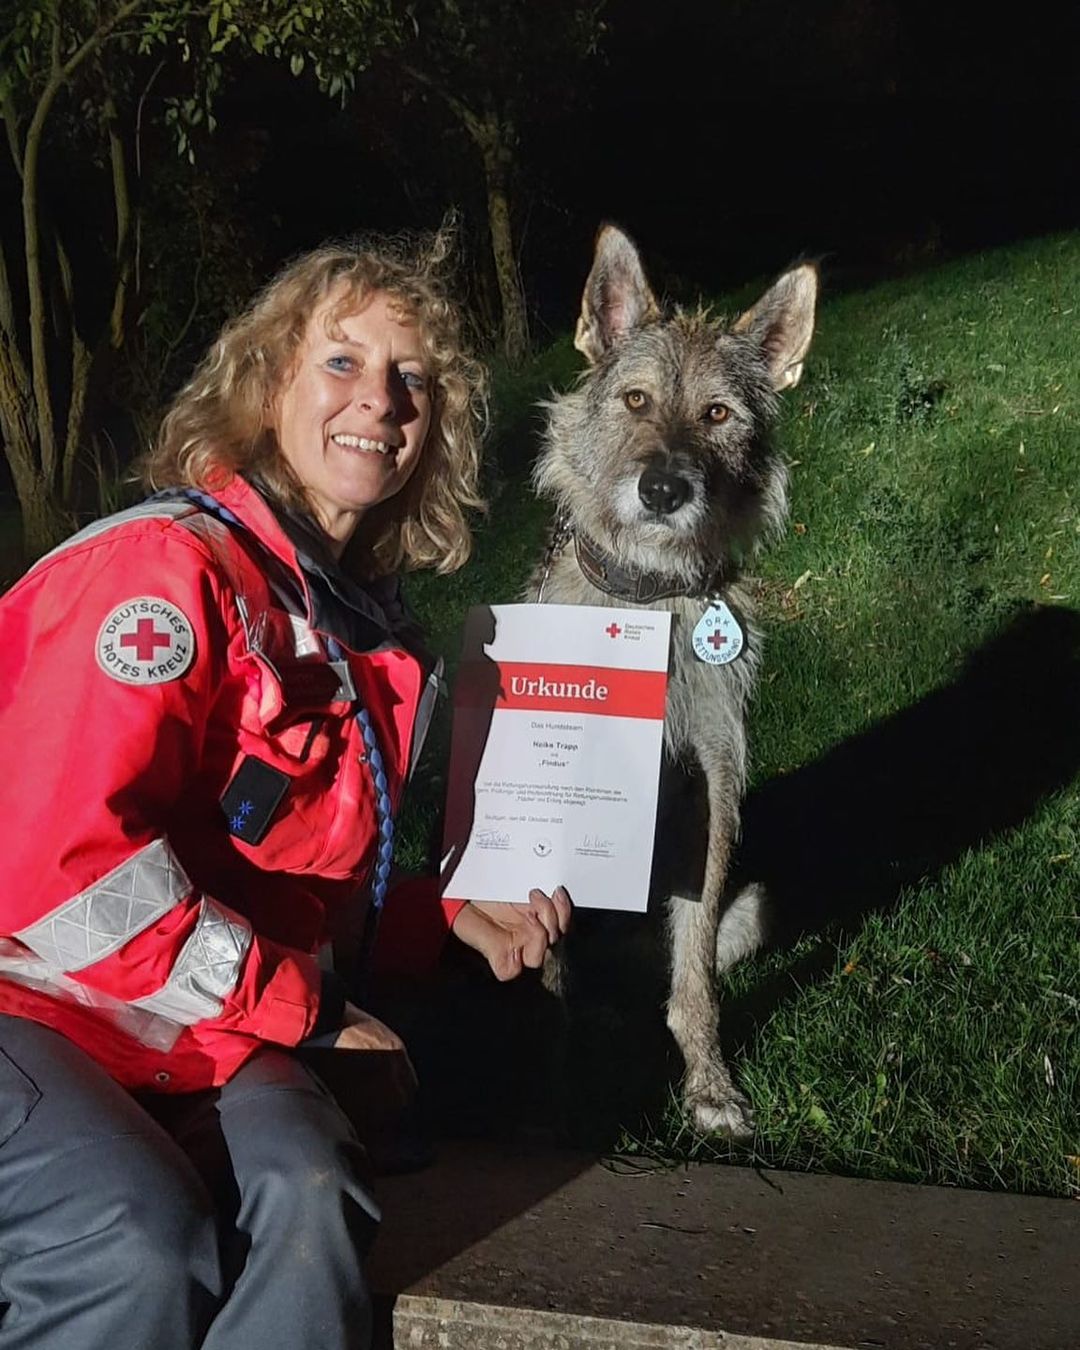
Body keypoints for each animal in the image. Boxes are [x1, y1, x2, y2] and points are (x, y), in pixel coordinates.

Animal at [531, 226, 820, 1134]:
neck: (650, 601)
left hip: (756, 903)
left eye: (718, 415)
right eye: (634, 401)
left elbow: (694, 981)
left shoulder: (712, 786)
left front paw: (709, 1084)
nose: (663, 488)